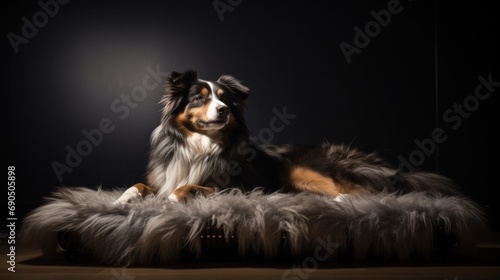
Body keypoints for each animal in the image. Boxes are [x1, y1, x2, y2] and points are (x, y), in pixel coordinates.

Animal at [112, 70, 460, 205]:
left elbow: (188, 187)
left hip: (301, 168)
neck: (200, 144)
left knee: (371, 192)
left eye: (225, 99)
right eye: (199, 98)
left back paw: (341, 200)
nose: (223, 111)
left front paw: (171, 199)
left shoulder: (235, 187)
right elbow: (141, 185)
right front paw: (122, 198)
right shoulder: (162, 177)